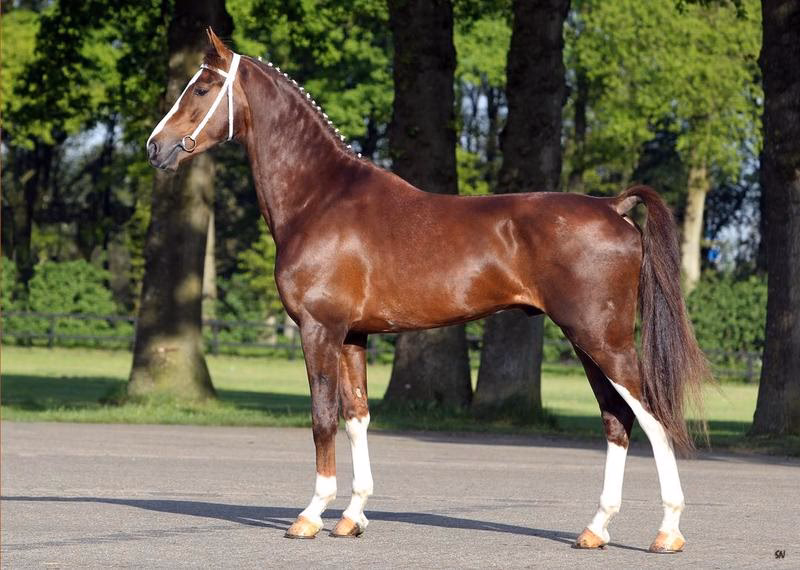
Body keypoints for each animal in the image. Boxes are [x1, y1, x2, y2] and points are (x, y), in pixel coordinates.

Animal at [146, 29, 709, 553]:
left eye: (202, 88)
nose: (155, 147)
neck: (320, 199)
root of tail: (613, 206)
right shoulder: (353, 337)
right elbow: (357, 417)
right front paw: (352, 518)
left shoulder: (318, 330)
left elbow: (322, 417)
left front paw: (310, 515)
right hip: (587, 343)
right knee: (617, 421)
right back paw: (595, 529)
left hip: (602, 340)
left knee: (653, 418)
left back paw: (668, 532)